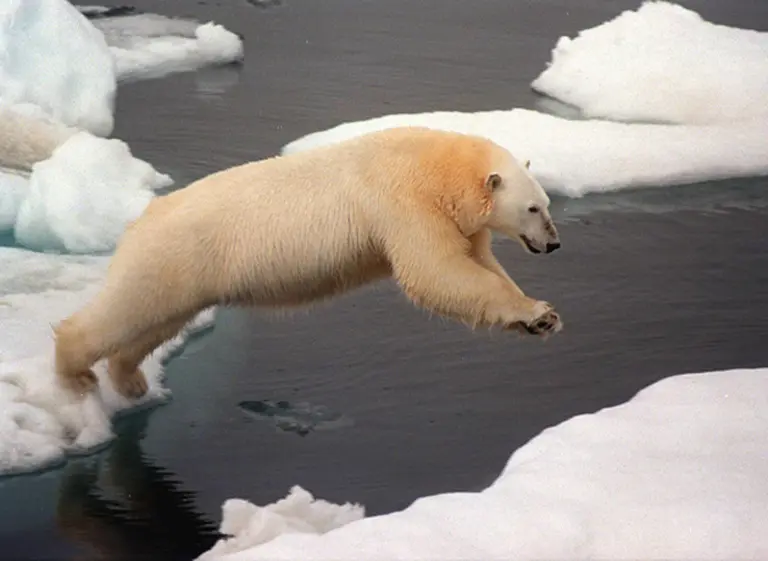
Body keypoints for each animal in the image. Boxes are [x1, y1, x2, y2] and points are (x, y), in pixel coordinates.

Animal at [53, 126, 563, 400]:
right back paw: (75, 373)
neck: (438, 167)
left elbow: (477, 263)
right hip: (172, 255)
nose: (554, 244)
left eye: (546, 203)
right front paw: (536, 312)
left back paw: (131, 380)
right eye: (533, 208)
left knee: (156, 322)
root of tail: (139, 221)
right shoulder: (403, 202)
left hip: (184, 275)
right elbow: (435, 272)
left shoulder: (457, 220)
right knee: (125, 310)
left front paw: (541, 317)